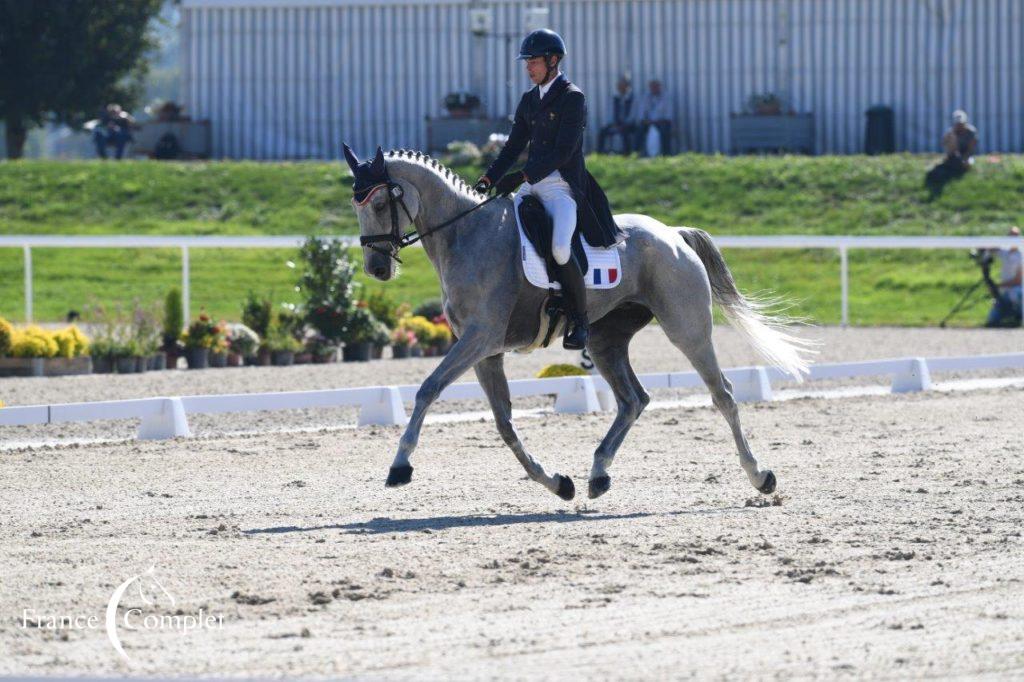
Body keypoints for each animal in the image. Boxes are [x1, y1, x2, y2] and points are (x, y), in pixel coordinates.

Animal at [348, 147, 811, 499]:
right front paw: (557, 483)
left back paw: (760, 476)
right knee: (633, 400)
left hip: (687, 330)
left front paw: (400, 466)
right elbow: (504, 423)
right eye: (357, 207)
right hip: (606, 340)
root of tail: (673, 234)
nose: (376, 268)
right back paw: (598, 475)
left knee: (723, 395)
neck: (467, 234)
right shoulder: (484, 350)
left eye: (379, 204)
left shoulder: (481, 338)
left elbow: (428, 389)